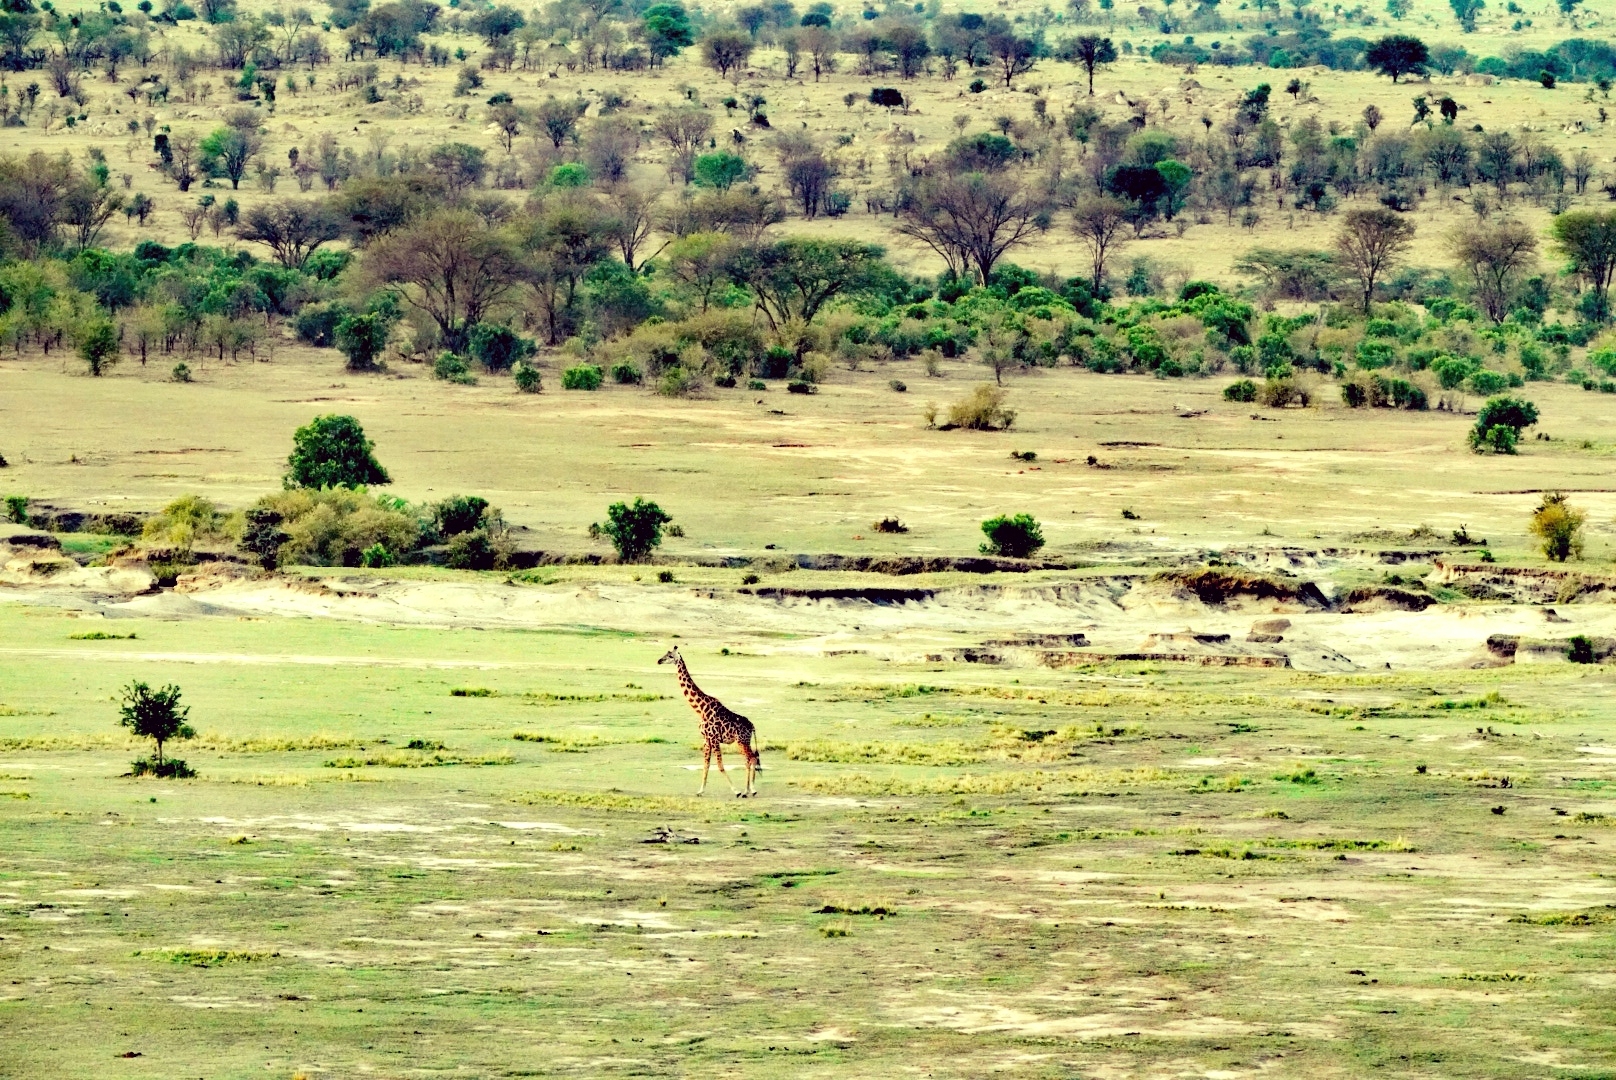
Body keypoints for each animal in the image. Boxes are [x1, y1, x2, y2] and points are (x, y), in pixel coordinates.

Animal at [652, 646, 759, 798]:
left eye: (670, 656)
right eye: (666, 654)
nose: (659, 660)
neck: (700, 709)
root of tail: (752, 726)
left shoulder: (714, 738)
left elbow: (720, 766)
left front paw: (736, 791)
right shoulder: (706, 739)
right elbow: (706, 765)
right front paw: (700, 791)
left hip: (741, 741)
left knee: (752, 758)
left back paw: (749, 790)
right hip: (743, 742)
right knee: (749, 760)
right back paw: (748, 790)